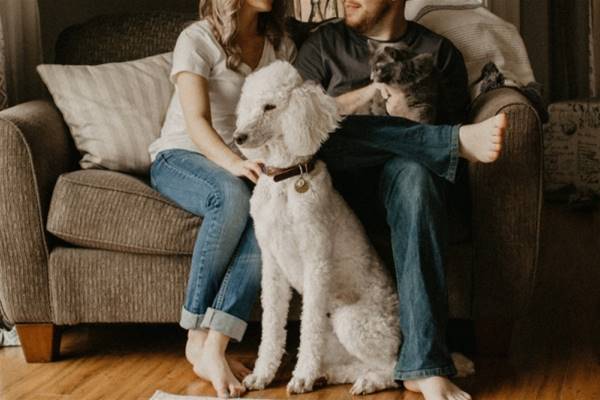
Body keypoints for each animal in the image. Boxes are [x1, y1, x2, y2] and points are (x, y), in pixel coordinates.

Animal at [234, 61, 474, 396]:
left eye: (270, 106)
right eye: (248, 104)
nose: (238, 137)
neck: (286, 179)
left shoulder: (316, 262)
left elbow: (308, 329)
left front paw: (302, 376)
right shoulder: (271, 266)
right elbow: (271, 327)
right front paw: (262, 375)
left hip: (351, 321)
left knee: (393, 370)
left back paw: (365, 381)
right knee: (357, 363)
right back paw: (328, 375)